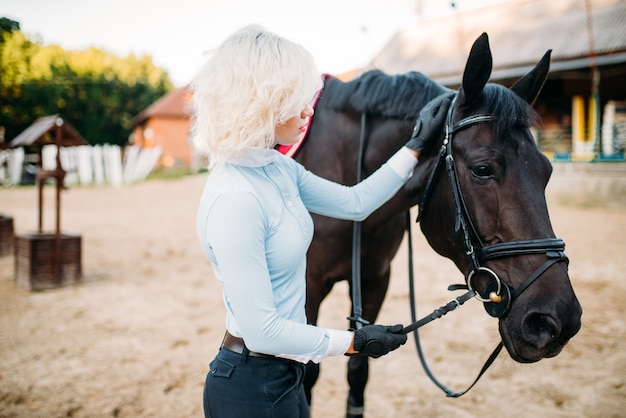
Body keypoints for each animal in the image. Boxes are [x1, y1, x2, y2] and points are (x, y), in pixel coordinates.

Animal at [292, 33, 580, 418]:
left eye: (546, 171)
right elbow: (305, 375)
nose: (556, 320)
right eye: (482, 169)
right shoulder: (309, 286)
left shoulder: (374, 278)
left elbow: (358, 369)